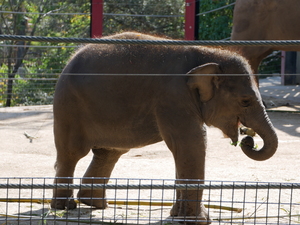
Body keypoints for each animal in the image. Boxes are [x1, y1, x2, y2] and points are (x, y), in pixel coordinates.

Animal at [50, 32, 278, 224]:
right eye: (245, 101)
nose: (248, 140)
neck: (208, 55)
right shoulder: (173, 97)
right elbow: (191, 143)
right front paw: (199, 221)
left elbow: (185, 149)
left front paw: (178, 215)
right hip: (69, 106)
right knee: (72, 153)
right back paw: (65, 207)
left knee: (109, 152)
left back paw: (94, 204)